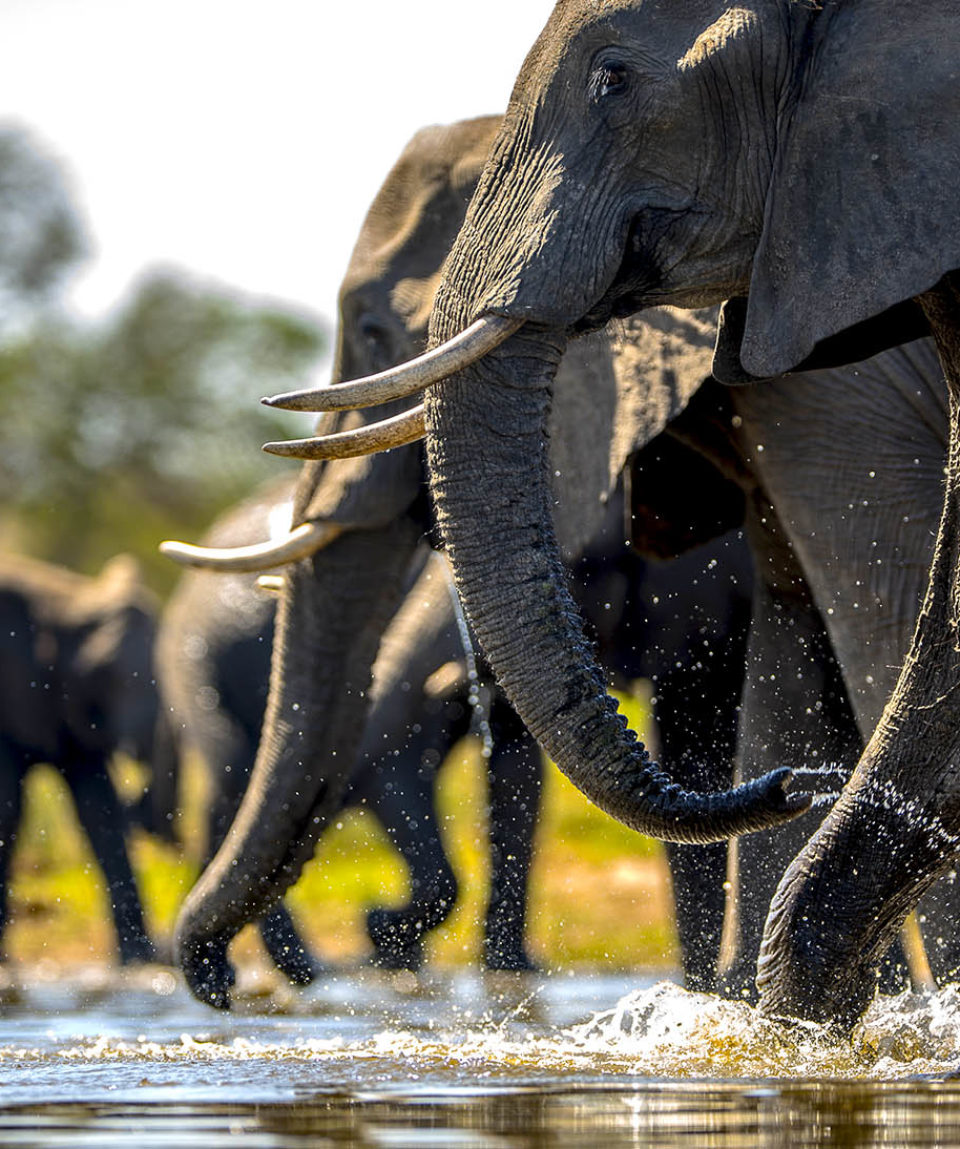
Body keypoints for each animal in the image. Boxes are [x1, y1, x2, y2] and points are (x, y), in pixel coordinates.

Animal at [248, 0, 960, 1029]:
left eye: (614, 80)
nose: (797, 792)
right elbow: (793, 656)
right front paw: (773, 1024)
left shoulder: (840, 383)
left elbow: (883, 622)